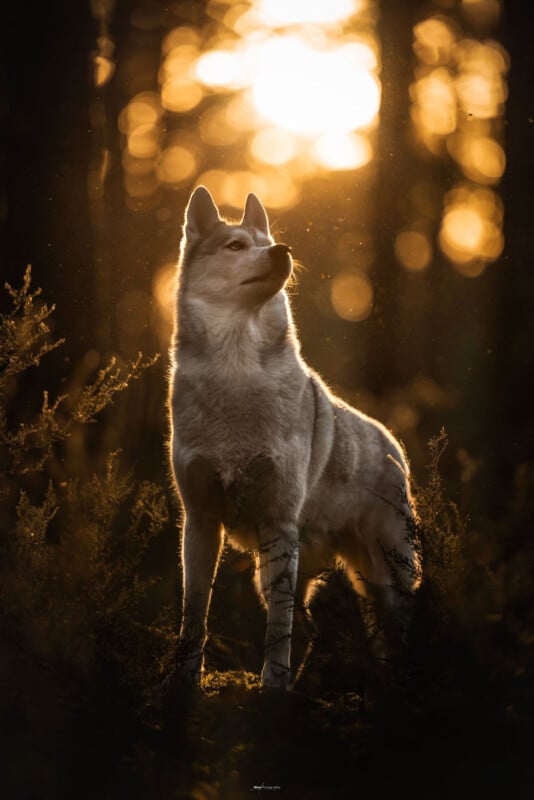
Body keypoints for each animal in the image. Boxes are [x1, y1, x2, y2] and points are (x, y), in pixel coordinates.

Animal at [167, 185, 421, 693]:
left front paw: (273, 684)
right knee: (316, 627)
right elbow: (195, 614)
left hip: (384, 575)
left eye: (268, 241)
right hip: (280, 572)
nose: (282, 251)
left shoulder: (279, 523)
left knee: (390, 629)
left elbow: (278, 628)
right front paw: (185, 681)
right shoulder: (200, 522)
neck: (236, 377)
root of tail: (393, 445)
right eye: (236, 246)